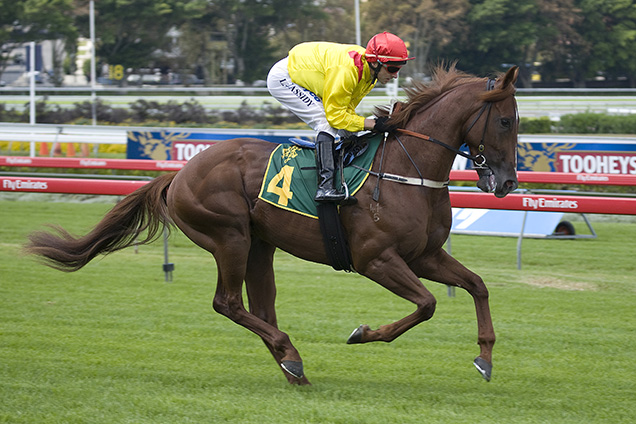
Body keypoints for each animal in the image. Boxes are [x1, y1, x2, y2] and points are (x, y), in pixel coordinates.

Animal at [27, 65, 520, 384]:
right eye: (504, 120)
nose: (508, 182)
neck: (404, 170)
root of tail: (179, 174)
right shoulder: (377, 259)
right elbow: (427, 305)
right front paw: (363, 334)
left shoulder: (425, 255)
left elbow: (476, 286)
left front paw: (485, 357)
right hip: (229, 237)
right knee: (227, 303)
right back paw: (289, 354)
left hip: (261, 245)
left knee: (260, 308)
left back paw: (290, 361)